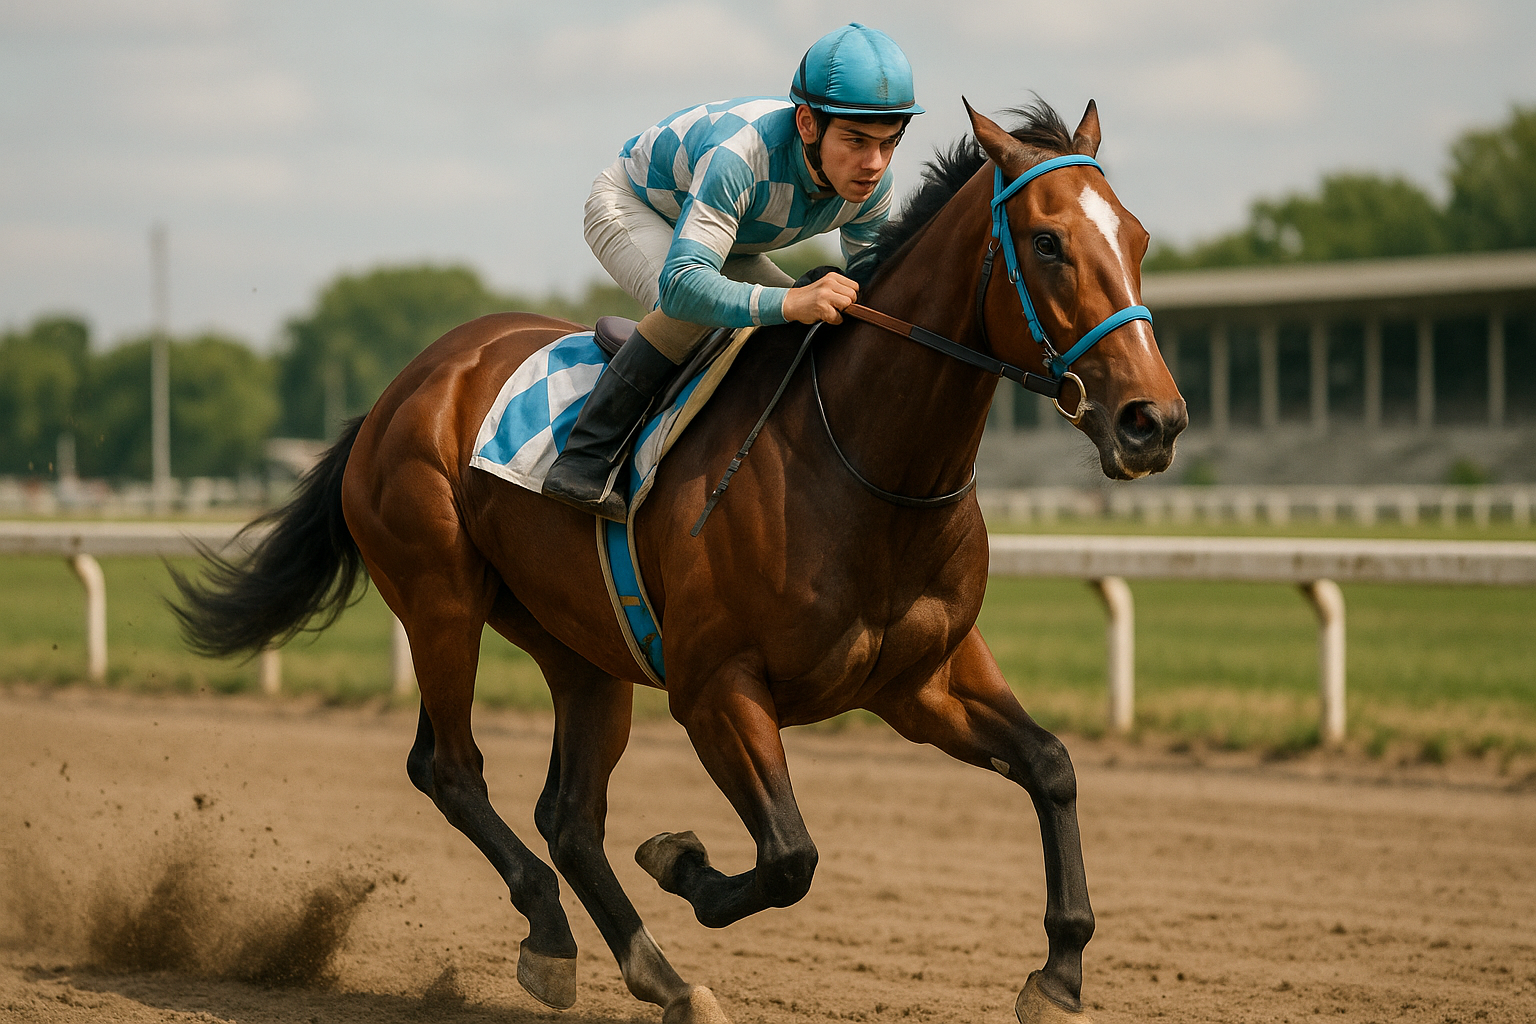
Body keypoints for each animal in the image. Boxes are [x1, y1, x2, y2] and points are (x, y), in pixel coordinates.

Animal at [173, 99, 1185, 1024]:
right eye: (1049, 243)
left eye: (1136, 235)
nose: (1155, 421)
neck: (865, 464)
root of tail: (405, 386)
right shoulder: (715, 686)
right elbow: (789, 856)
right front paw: (680, 860)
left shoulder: (922, 678)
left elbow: (1052, 765)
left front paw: (1060, 973)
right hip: (439, 599)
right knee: (452, 769)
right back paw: (554, 934)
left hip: (579, 645)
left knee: (567, 815)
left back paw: (653, 973)